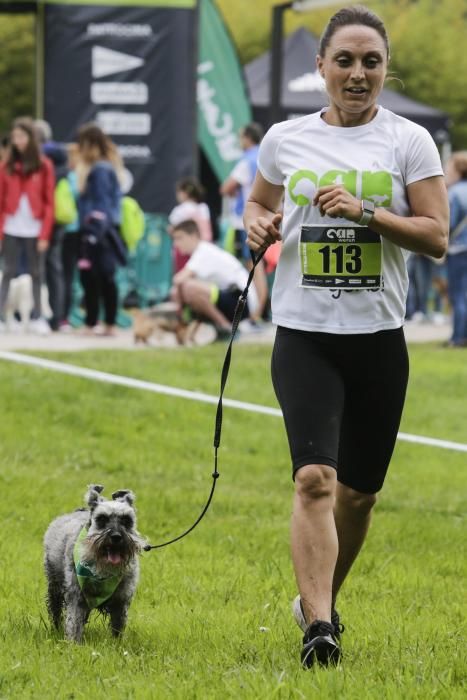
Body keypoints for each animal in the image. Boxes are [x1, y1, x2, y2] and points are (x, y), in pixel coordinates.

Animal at [44, 484, 146, 644]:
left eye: (126, 520)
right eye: (102, 518)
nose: (116, 537)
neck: (103, 572)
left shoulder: (121, 601)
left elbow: (118, 626)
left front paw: (117, 645)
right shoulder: (76, 596)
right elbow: (74, 623)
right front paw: (73, 644)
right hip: (54, 585)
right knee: (55, 610)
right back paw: (56, 629)